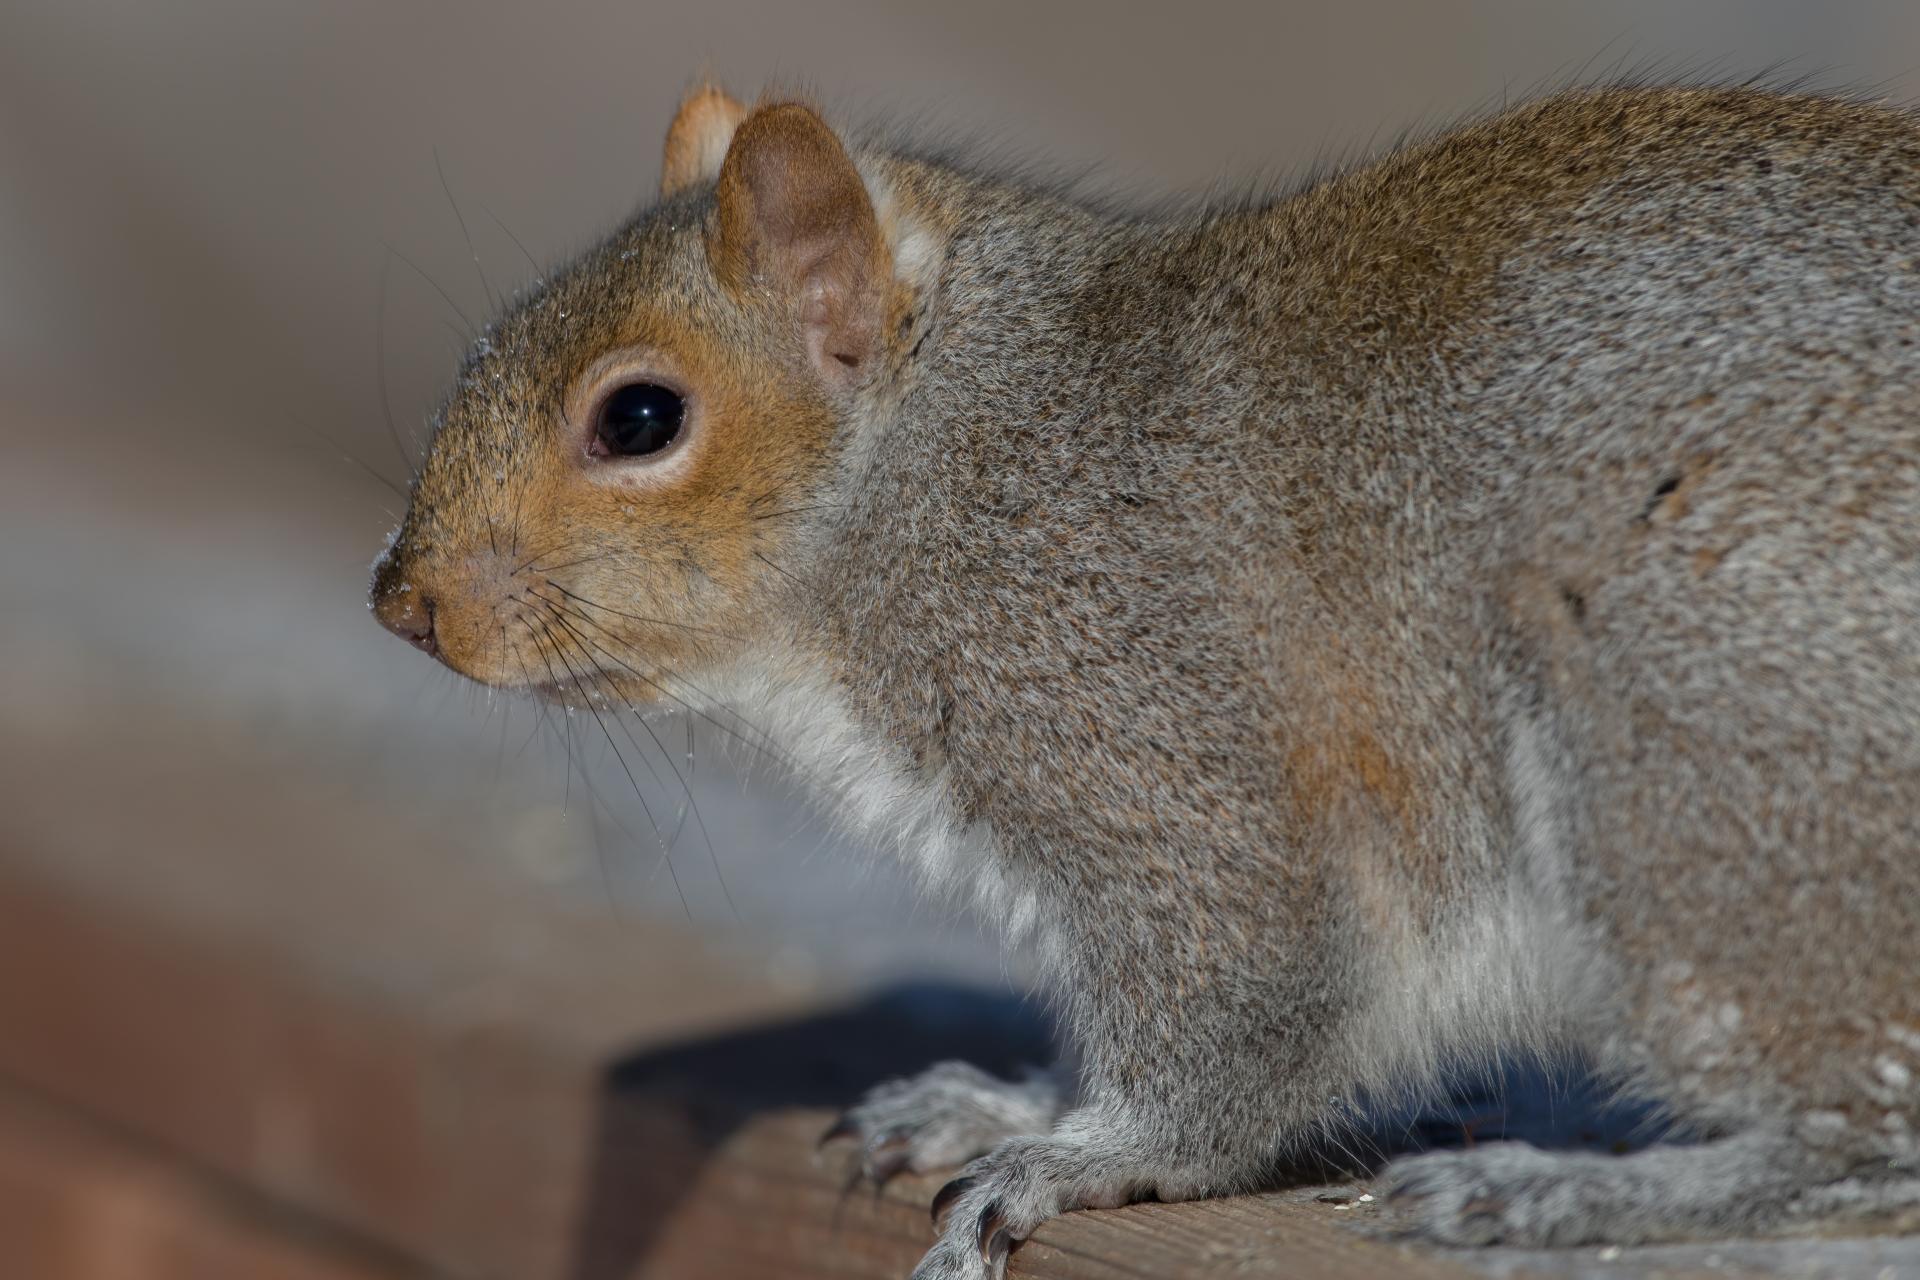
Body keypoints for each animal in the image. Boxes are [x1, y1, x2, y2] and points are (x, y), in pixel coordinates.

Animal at [371, 80, 1920, 1276]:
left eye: (640, 417)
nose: (403, 603)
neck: (955, 453)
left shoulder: (1168, 752)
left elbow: (1242, 1006)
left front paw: (1078, 1158)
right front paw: (1003, 1097)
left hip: (1695, 752)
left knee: (1865, 1136)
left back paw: (1565, 1188)